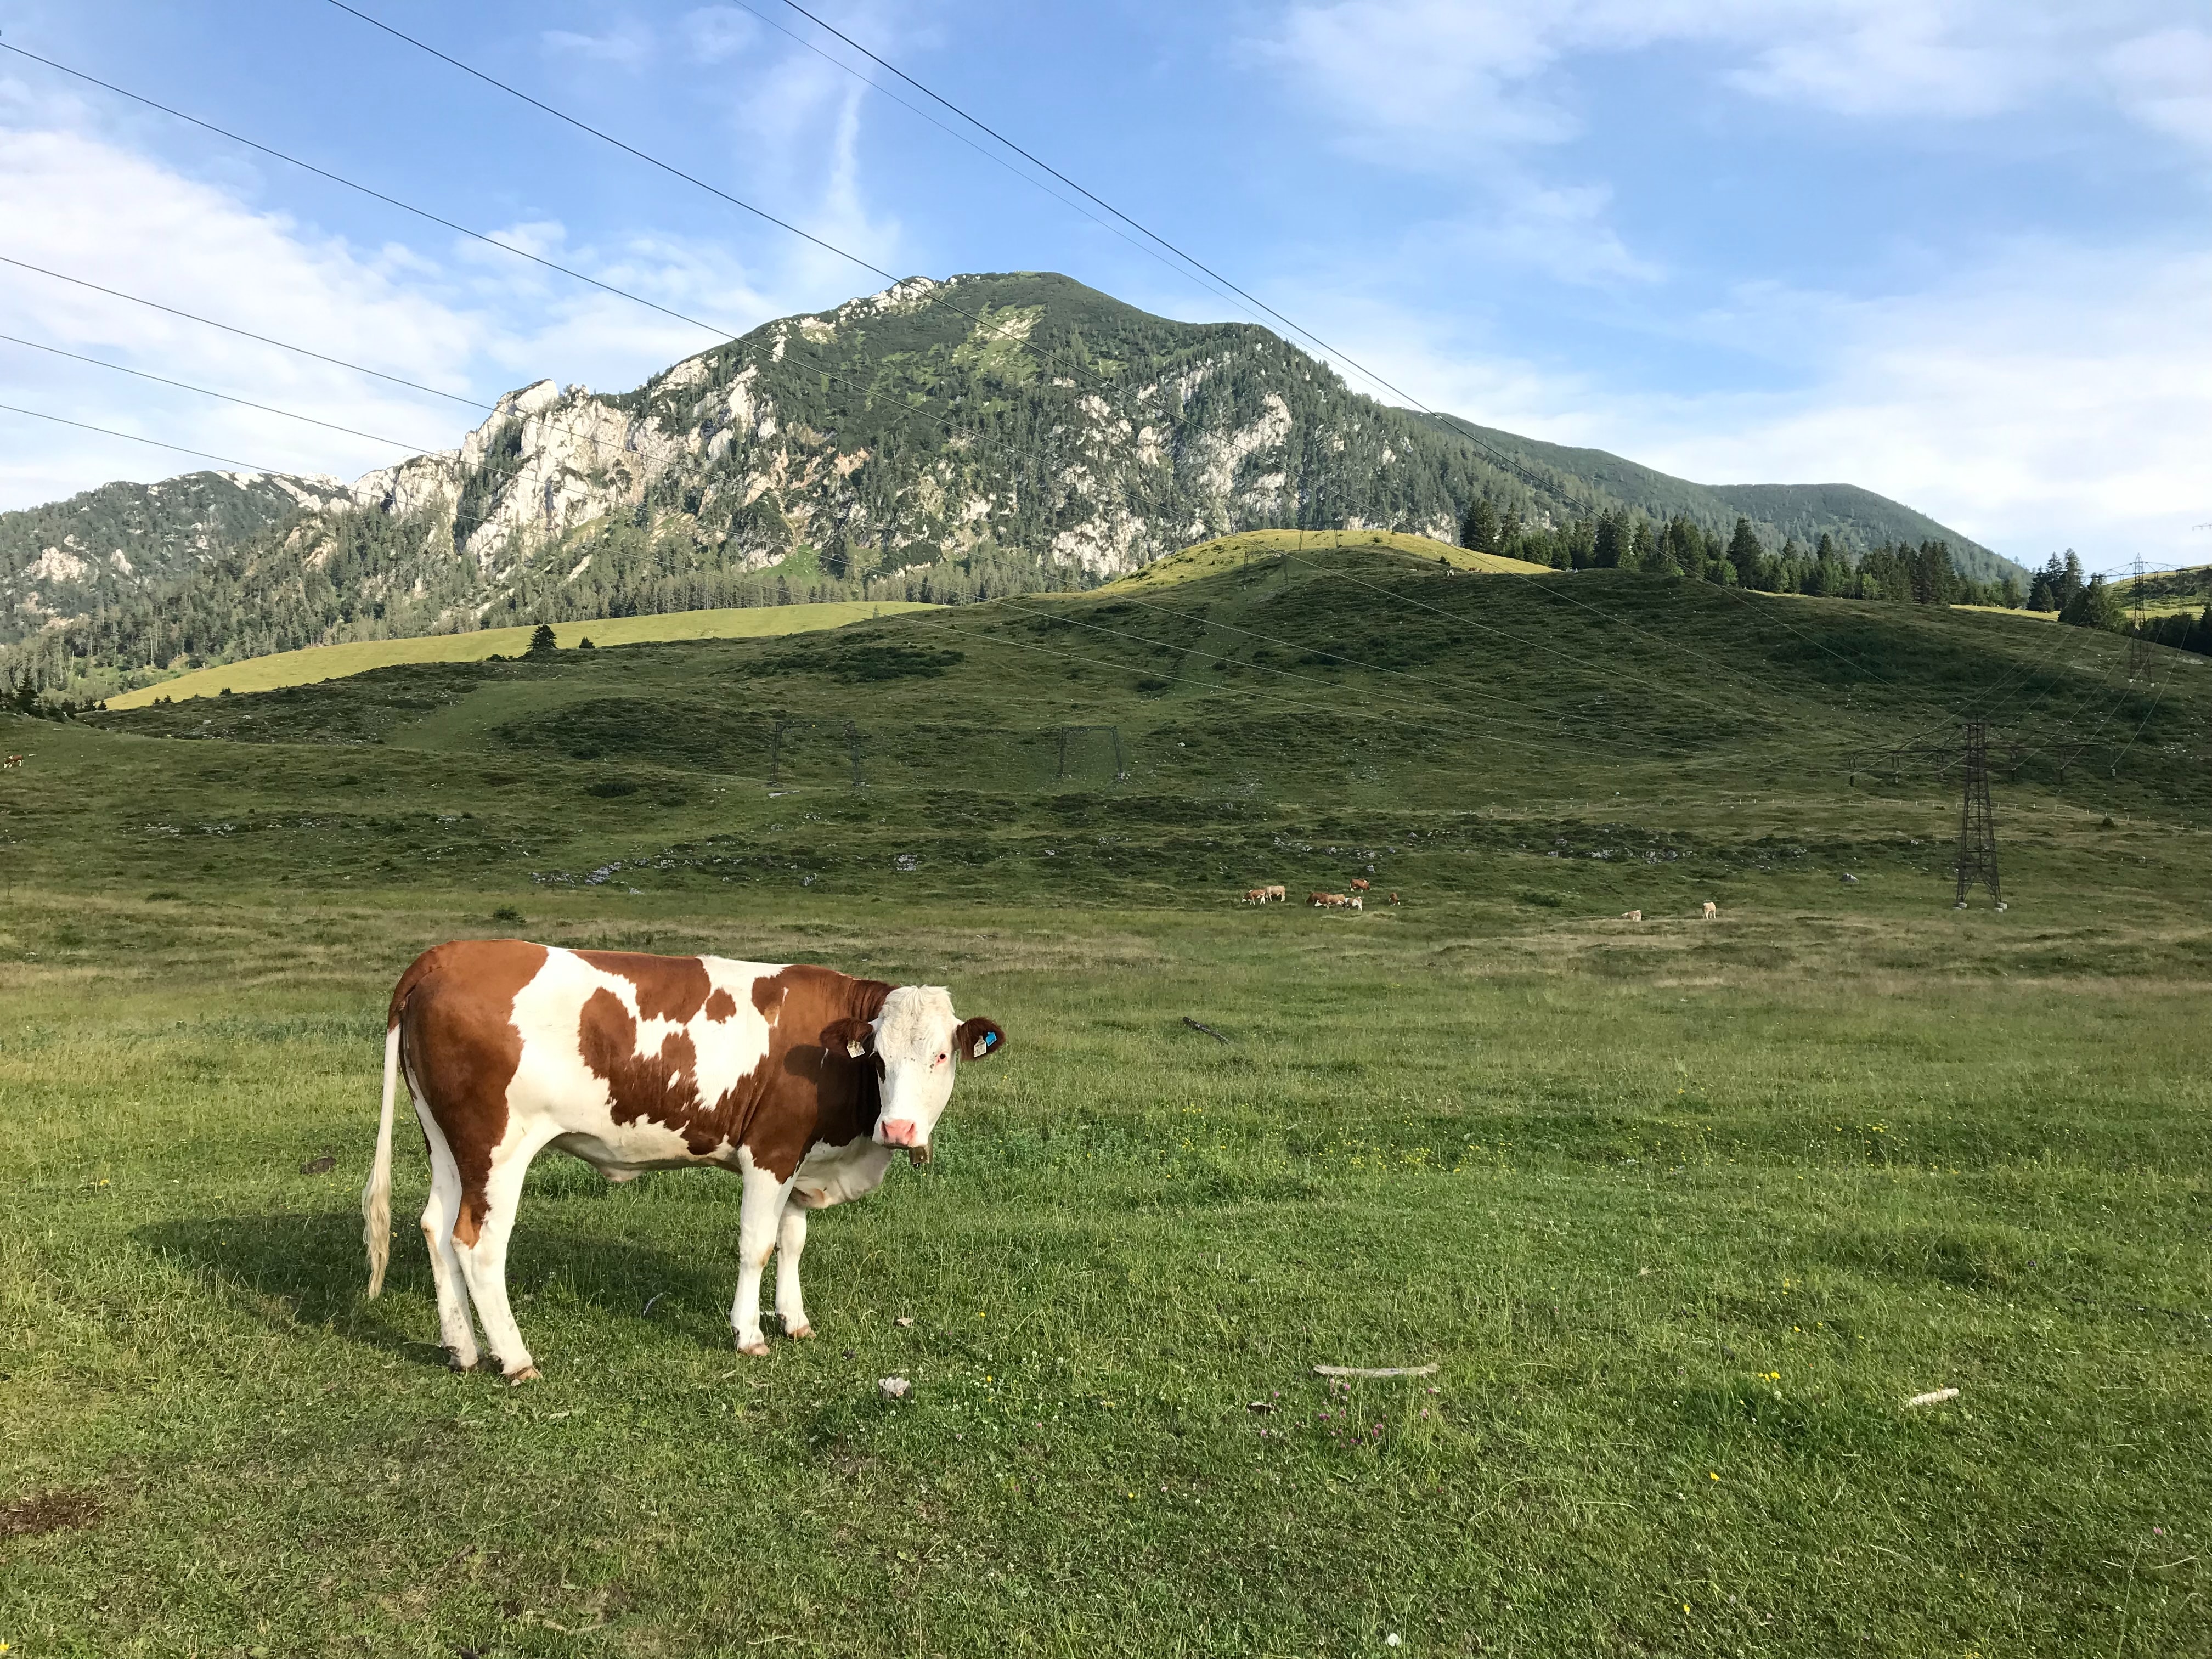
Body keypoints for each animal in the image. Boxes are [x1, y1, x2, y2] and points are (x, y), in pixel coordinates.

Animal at [365, 942, 1013, 1380]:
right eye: (878, 1059)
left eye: (941, 1056)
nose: (899, 1129)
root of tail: (448, 954)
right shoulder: (770, 1152)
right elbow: (758, 1245)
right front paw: (749, 1333)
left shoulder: (802, 1161)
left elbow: (793, 1240)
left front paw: (794, 1319)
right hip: (497, 1146)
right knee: (477, 1244)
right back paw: (514, 1357)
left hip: (448, 1142)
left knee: (435, 1228)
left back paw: (463, 1348)